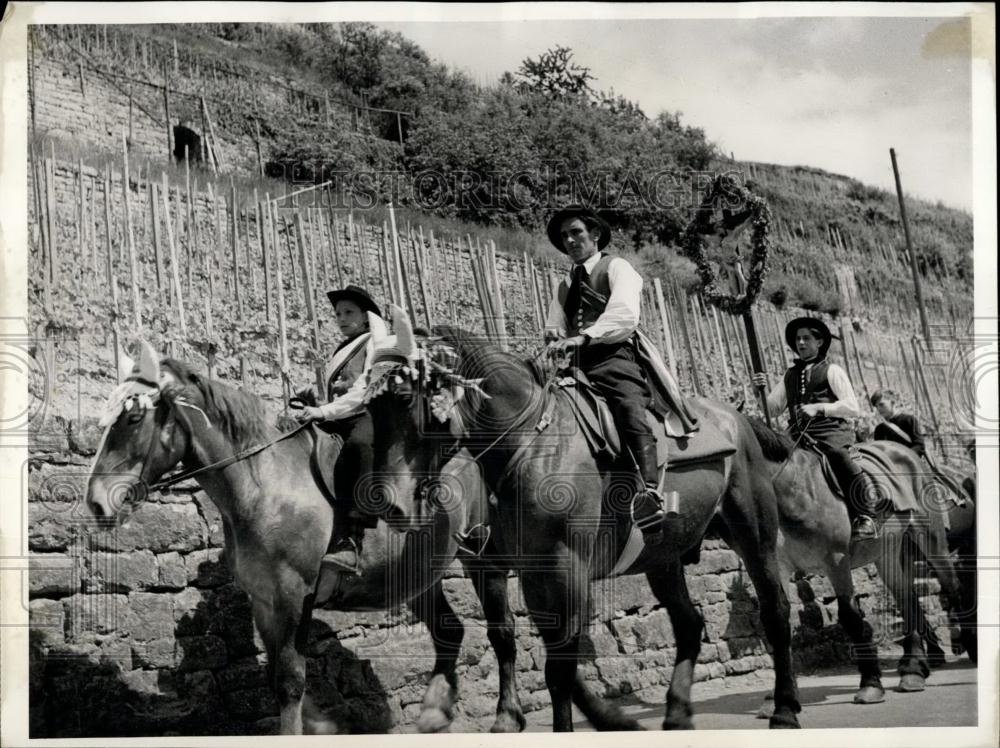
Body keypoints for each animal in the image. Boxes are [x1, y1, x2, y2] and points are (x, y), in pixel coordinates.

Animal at [84, 344, 532, 736]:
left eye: (133, 420)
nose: (96, 502)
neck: (263, 485)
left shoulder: (293, 594)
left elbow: (290, 679)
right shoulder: (264, 600)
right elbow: (278, 675)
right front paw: (319, 722)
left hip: (481, 558)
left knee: (502, 632)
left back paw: (506, 716)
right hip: (416, 574)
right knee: (449, 633)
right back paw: (436, 713)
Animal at [360, 314, 804, 732]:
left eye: (406, 398)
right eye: (371, 409)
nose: (390, 503)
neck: (529, 444)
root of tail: (737, 419)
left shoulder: (565, 571)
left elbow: (559, 667)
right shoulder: (516, 572)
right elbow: (530, 646)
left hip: (754, 536)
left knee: (776, 611)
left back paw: (785, 708)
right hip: (663, 559)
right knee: (689, 625)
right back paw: (677, 712)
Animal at [752, 420, 976, 708]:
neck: (795, 487)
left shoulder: (836, 560)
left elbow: (850, 617)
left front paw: (870, 685)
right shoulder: (777, 566)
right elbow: (778, 620)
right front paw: (779, 697)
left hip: (931, 539)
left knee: (953, 587)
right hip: (888, 552)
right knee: (907, 598)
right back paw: (913, 670)